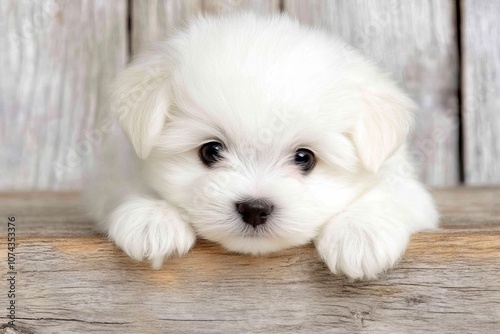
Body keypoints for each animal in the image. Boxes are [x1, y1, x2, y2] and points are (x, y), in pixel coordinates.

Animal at [85, 13, 438, 280]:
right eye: (210, 151)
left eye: (304, 158)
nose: (254, 208)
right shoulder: (115, 172)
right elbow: (127, 186)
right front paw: (153, 219)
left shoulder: (406, 187)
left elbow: (390, 195)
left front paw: (359, 234)